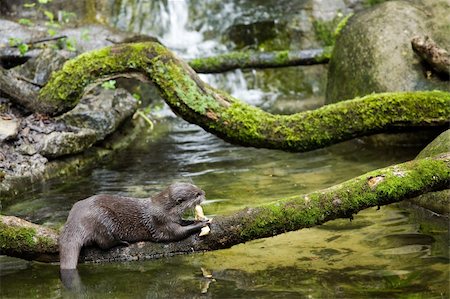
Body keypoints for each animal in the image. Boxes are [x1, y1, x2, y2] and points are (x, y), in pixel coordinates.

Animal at [57, 182, 209, 270]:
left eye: (197, 188)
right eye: (196, 194)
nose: (204, 192)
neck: (165, 209)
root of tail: (74, 221)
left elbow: (183, 222)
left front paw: (194, 220)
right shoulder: (160, 222)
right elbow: (175, 233)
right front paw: (201, 223)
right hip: (103, 218)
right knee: (104, 243)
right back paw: (121, 242)